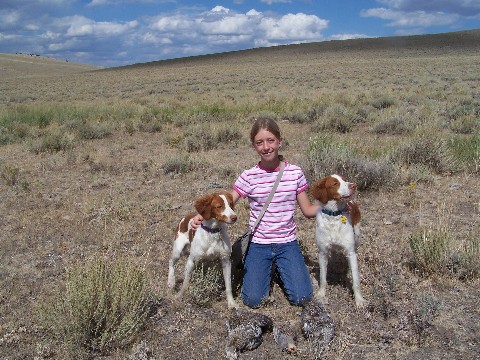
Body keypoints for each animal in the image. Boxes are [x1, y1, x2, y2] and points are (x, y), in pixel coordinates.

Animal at [310, 174, 366, 306]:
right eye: (335, 183)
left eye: (344, 179)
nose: (353, 185)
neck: (333, 216)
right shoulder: (322, 253)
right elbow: (322, 278)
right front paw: (321, 294)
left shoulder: (351, 253)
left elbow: (356, 281)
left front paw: (359, 300)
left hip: (357, 234)